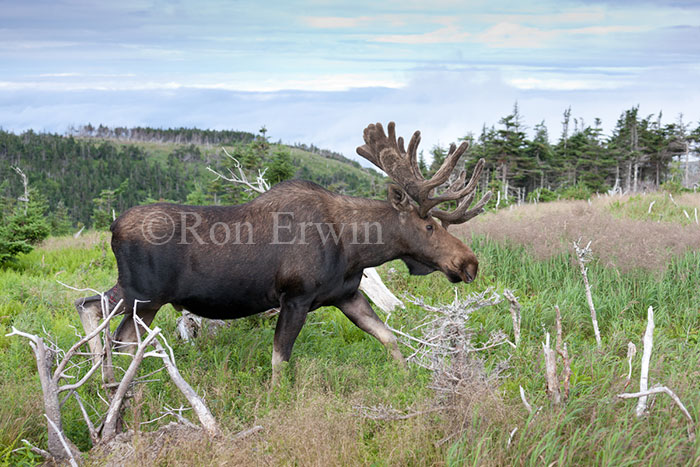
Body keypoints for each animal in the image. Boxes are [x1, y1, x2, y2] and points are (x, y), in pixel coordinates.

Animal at [75, 121, 492, 380]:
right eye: (428, 226)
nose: (469, 263)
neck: (357, 247)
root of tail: (113, 227)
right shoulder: (295, 297)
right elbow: (280, 361)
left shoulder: (346, 295)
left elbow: (389, 337)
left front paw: (406, 377)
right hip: (141, 292)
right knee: (90, 307)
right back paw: (103, 379)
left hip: (146, 301)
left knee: (122, 336)